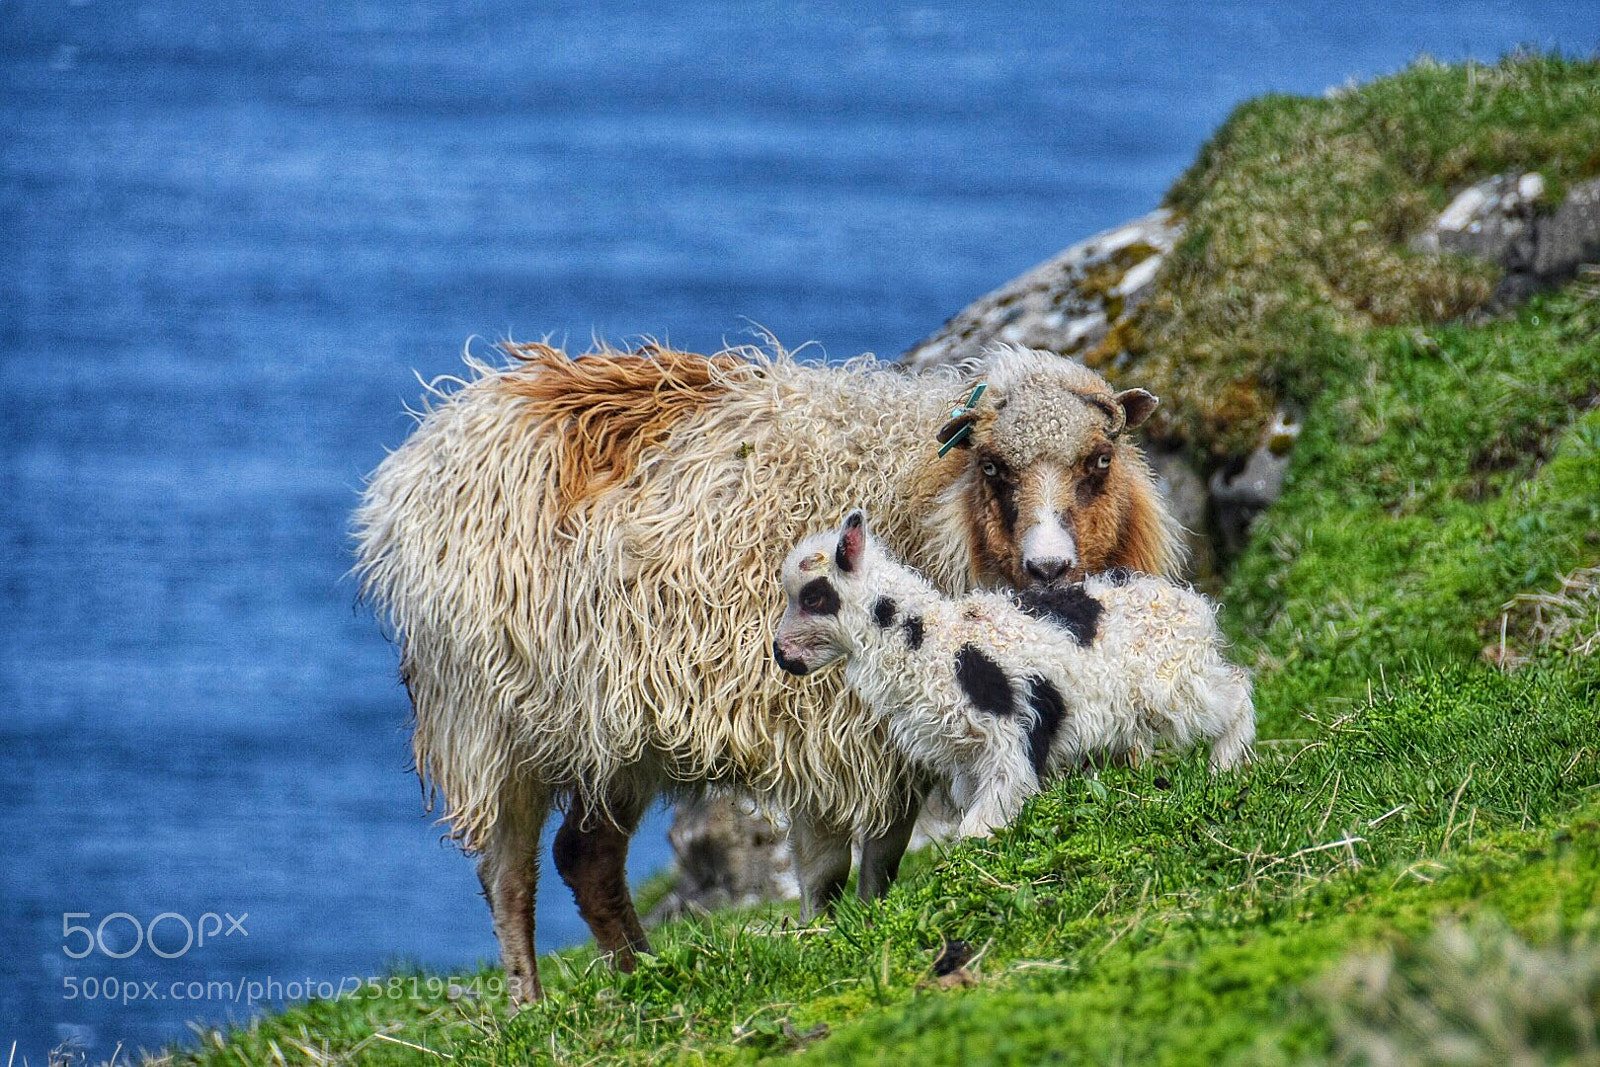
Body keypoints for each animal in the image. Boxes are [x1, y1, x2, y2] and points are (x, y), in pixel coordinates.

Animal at [352, 338, 1182, 1000]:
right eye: (995, 467)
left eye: (1099, 461)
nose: (1050, 567)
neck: (919, 494)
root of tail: (450, 421)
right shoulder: (821, 731)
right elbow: (823, 869)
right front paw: (824, 943)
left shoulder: (894, 748)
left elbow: (884, 857)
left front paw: (870, 927)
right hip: (491, 720)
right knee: (510, 873)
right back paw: (531, 1002)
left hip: (612, 731)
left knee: (585, 856)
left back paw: (646, 977)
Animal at [774, 510, 1254, 838]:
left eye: (814, 597)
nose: (781, 655)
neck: (933, 644)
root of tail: (1192, 604)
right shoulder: (967, 761)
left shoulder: (1009, 737)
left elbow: (979, 825)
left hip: (1175, 685)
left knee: (1235, 693)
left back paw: (1225, 767)